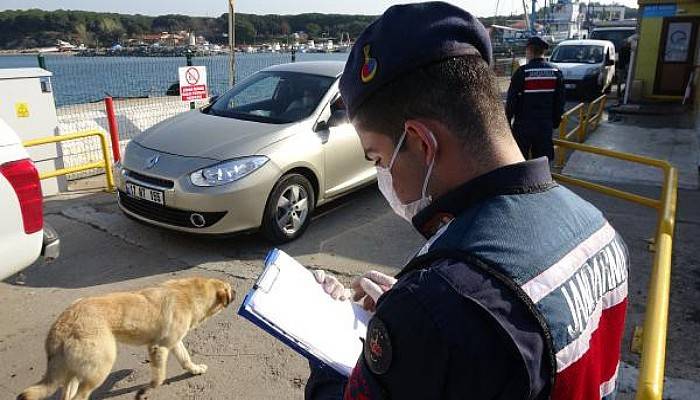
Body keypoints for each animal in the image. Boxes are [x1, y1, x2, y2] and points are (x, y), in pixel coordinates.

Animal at [16, 276, 234, 400]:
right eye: (230, 288)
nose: (237, 292)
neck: (186, 292)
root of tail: (63, 323)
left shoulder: (173, 343)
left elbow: (185, 358)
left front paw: (195, 369)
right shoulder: (158, 348)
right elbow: (159, 378)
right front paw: (147, 390)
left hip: (76, 371)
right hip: (101, 366)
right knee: (80, 397)